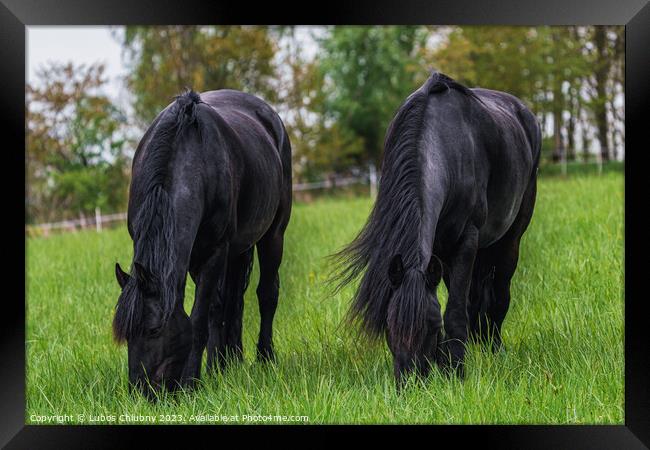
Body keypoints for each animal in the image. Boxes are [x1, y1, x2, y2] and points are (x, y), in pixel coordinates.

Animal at [113, 89, 292, 398]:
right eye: (126, 335)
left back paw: (264, 358)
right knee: (233, 302)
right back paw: (229, 361)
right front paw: (213, 369)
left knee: (267, 293)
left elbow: (198, 319)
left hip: (273, 236)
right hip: (239, 250)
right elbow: (215, 309)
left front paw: (191, 382)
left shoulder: (214, 252)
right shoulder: (193, 257)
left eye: (153, 330)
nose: (142, 393)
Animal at [332, 71, 540, 386]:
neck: (435, 144)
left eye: (432, 328)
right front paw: (448, 365)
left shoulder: (466, 241)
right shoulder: (440, 252)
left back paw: (494, 349)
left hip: (509, 239)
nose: (411, 385)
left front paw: (456, 373)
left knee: (499, 293)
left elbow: (454, 312)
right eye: (390, 328)